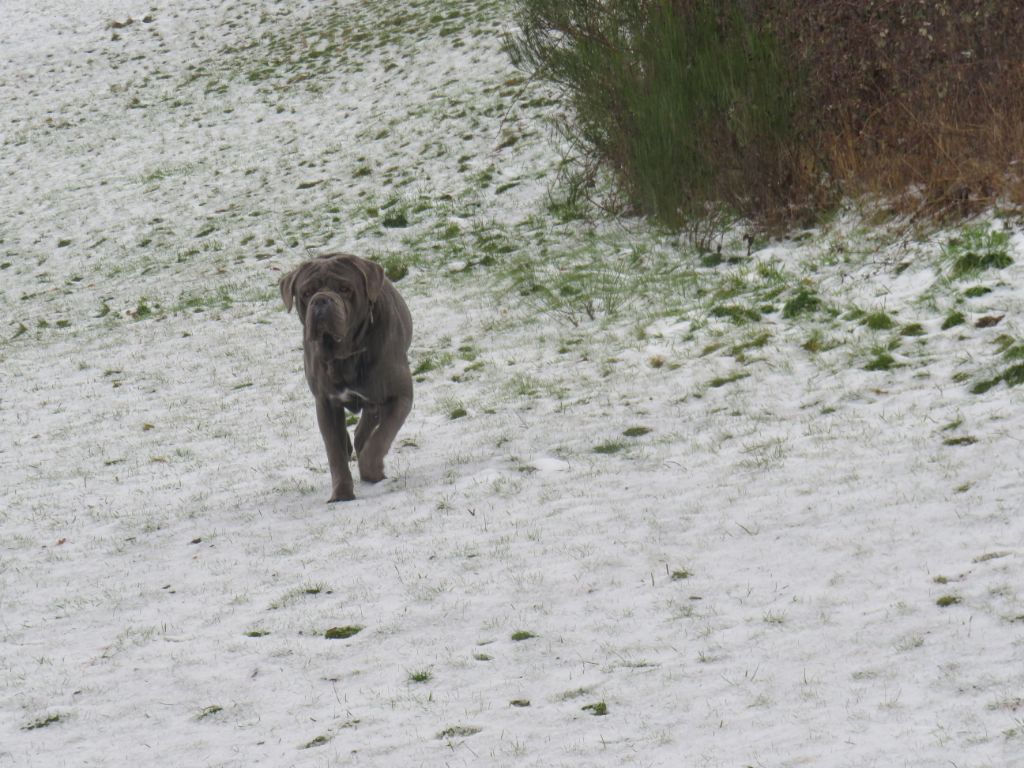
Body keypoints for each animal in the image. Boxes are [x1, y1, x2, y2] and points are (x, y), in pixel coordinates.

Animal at [280, 253, 411, 505]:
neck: (345, 354)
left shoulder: (399, 395)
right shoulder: (326, 404)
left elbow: (381, 438)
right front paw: (341, 494)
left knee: (367, 430)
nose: (321, 300)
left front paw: (372, 470)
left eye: (344, 288)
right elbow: (335, 452)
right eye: (306, 292)